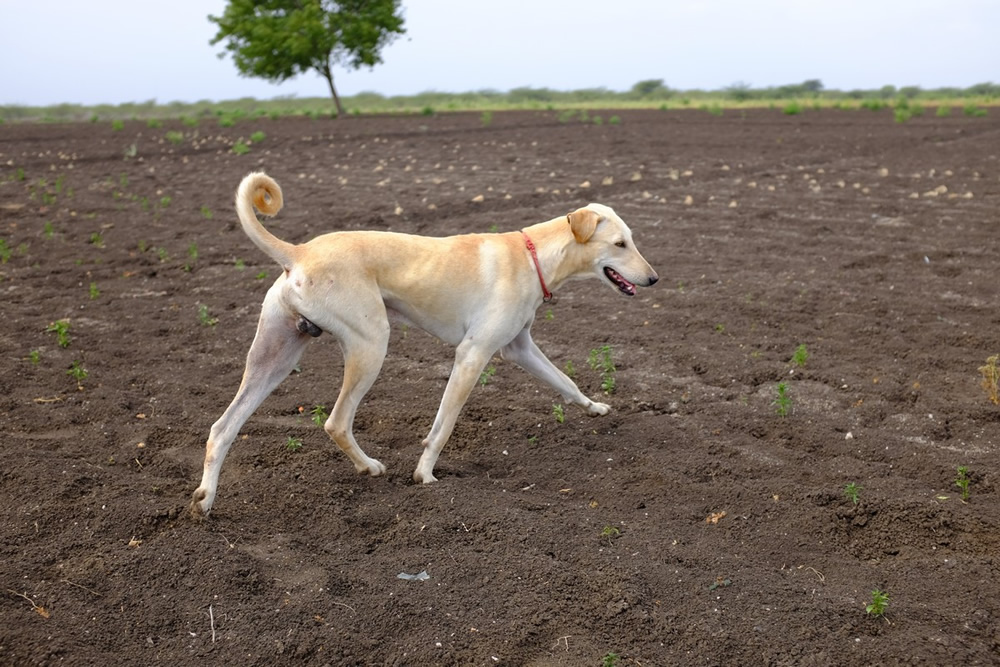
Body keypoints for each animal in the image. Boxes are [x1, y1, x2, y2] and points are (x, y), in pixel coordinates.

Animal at [189, 172, 656, 516]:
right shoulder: (472, 355)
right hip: (371, 345)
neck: (532, 256)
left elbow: (566, 382)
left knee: (221, 428)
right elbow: (442, 427)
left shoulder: (519, 348)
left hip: (275, 357)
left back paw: (205, 500)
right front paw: (425, 476)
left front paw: (596, 408)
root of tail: (299, 252)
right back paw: (370, 467)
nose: (654, 279)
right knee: (336, 422)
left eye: (632, 239)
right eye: (620, 244)